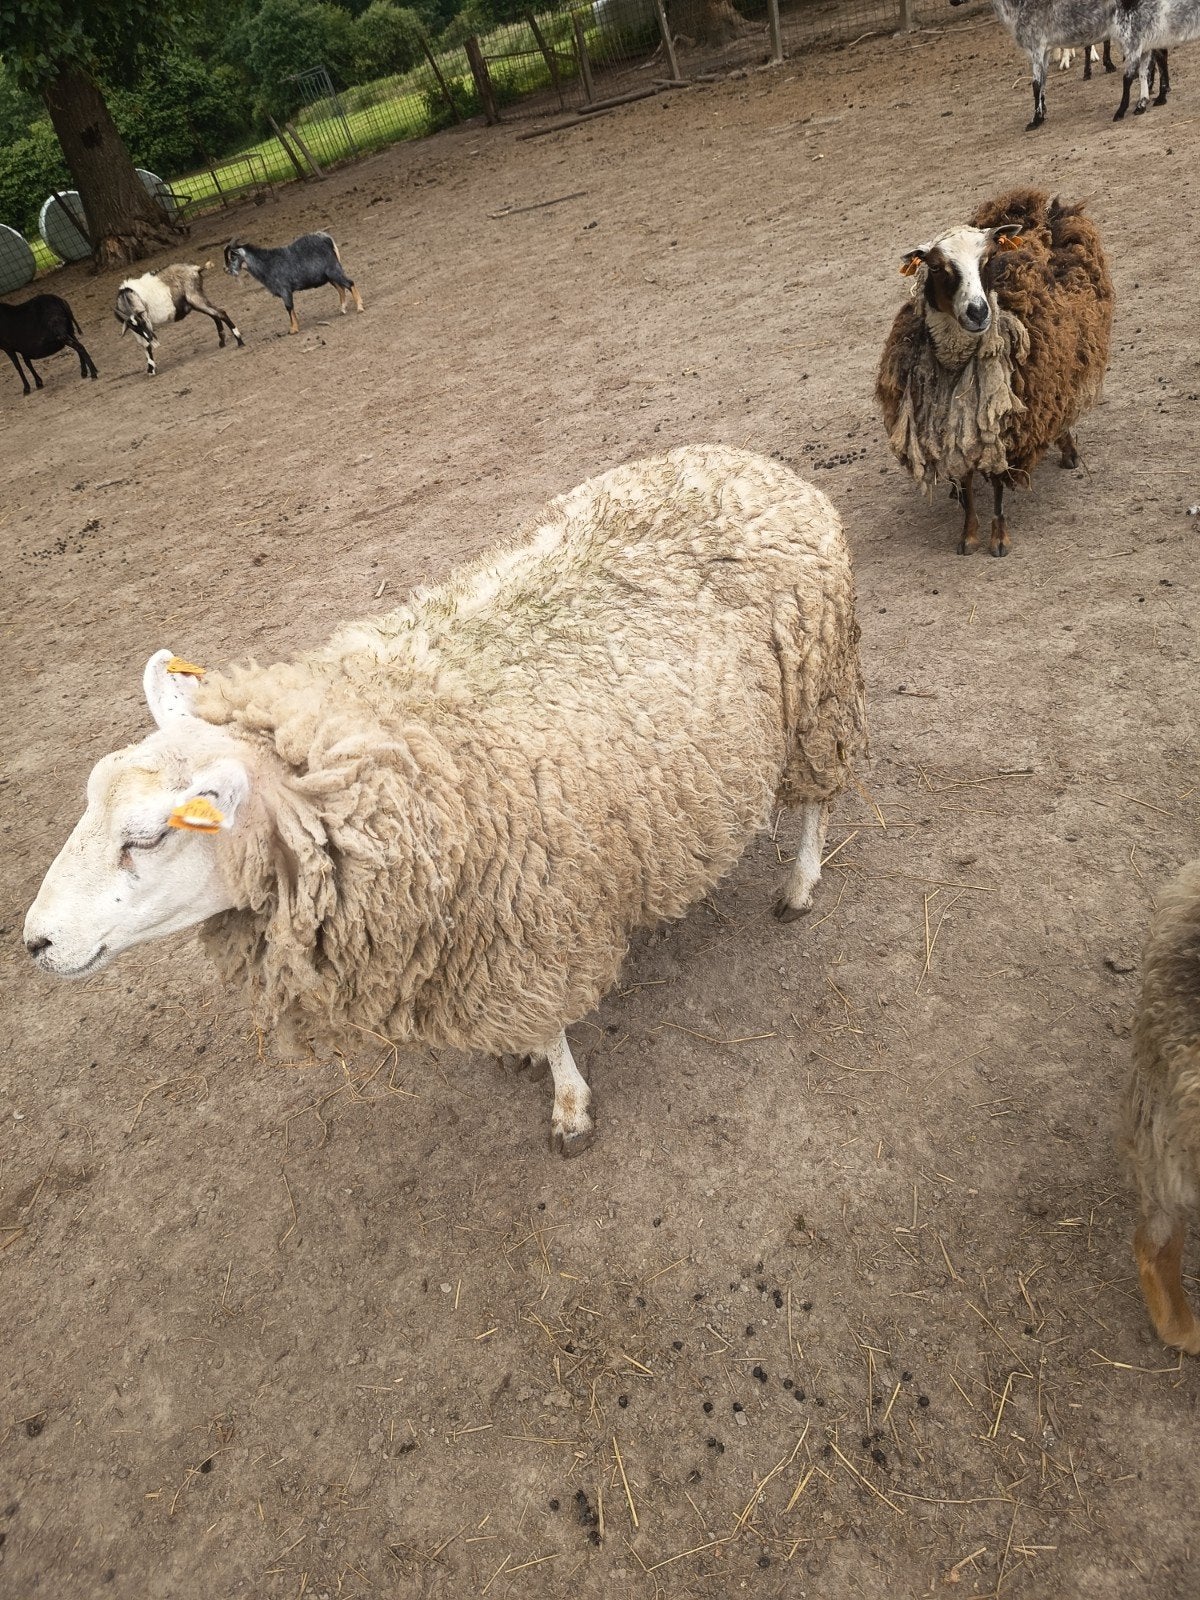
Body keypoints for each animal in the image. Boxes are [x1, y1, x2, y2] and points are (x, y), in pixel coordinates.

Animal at [23, 445, 867, 1157]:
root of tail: (750, 459)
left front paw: (567, 1104)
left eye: (148, 837)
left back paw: (800, 884)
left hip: (817, 700)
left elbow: (552, 1026)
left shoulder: (528, 927)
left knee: (818, 803)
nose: (35, 943)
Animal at [115, 263, 243, 377]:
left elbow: (147, 344)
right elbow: (144, 345)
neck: (127, 297)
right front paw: (151, 368)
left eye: (143, 321)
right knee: (215, 315)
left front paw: (151, 368)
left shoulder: (147, 321)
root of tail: (195, 269)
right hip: (196, 302)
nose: (151, 337)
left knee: (221, 313)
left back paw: (239, 341)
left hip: (195, 299)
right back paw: (222, 342)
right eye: (134, 327)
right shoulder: (137, 331)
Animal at [223, 232, 364, 334]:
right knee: (341, 288)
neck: (267, 264)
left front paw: (293, 329)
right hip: (329, 276)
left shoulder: (284, 289)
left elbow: (289, 307)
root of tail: (326, 239)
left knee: (349, 283)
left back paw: (359, 307)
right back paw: (343, 309)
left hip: (334, 270)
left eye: (233, 256)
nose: (227, 270)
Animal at [875, 189, 1113, 558]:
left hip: (1067, 358)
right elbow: (967, 485)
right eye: (938, 267)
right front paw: (968, 535)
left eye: (987, 260)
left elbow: (999, 483)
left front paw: (999, 538)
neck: (957, 362)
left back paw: (1069, 451)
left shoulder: (1003, 423)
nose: (978, 311)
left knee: (1062, 401)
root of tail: (1035, 205)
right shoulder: (952, 427)